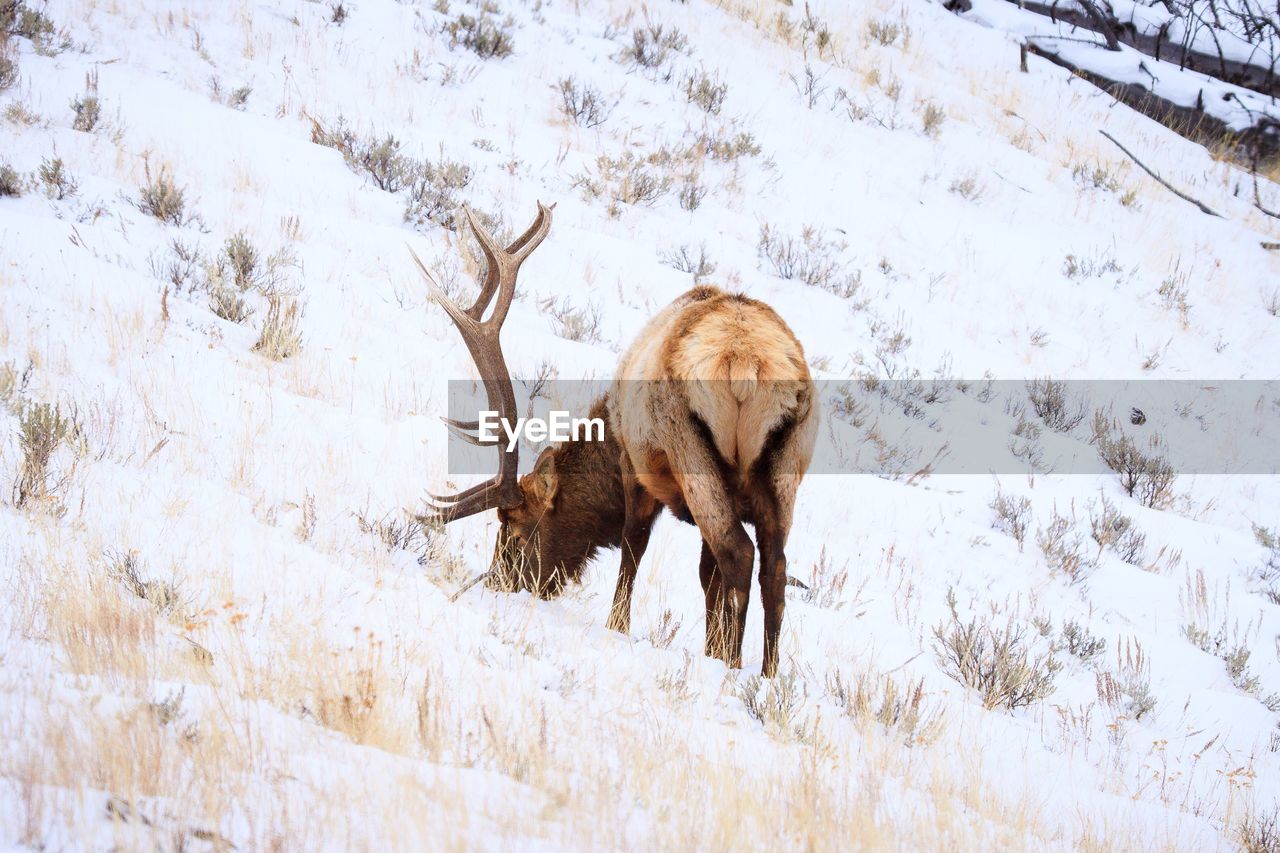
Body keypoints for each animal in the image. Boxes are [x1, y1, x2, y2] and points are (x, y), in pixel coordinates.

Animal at [419, 202, 819, 676]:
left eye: (514, 530)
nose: (496, 583)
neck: (608, 431)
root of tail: (747, 363)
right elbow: (707, 577)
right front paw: (711, 646)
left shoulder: (635, 466)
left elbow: (634, 546)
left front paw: (620, 626)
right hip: (785, 466)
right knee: (774, 567)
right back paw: (767, 676)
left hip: (689, 447)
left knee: (738, 552)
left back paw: (732, 669)